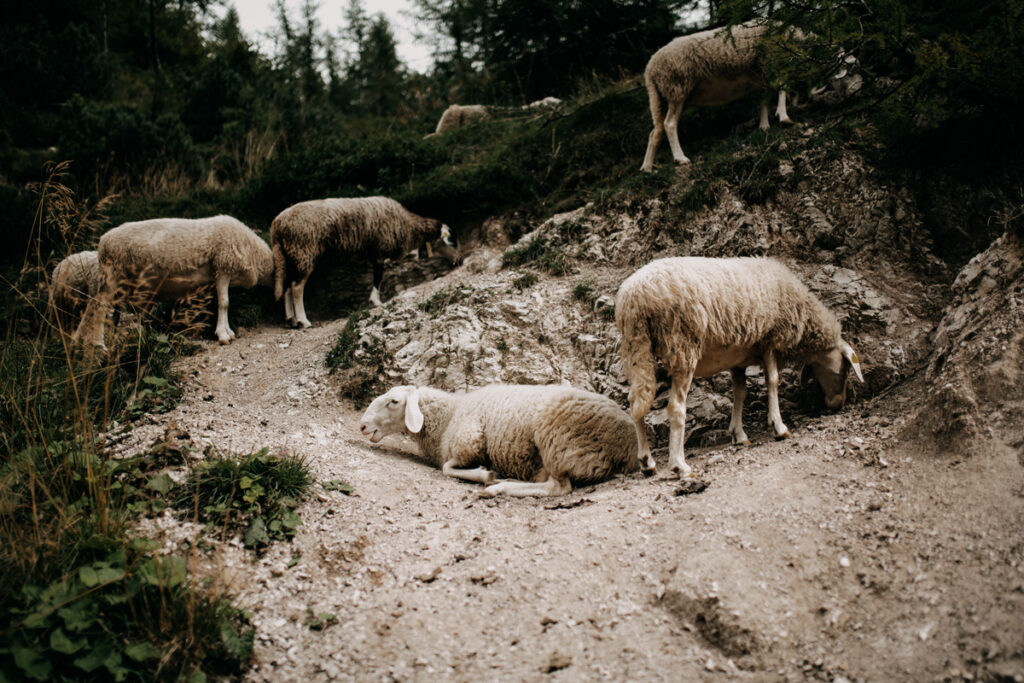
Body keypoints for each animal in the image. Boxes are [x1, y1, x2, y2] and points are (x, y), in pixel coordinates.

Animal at [270, 194, 454, 327]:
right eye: (446, 240)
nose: (455, 261)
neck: (407, 225)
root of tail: (277, 225)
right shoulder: (379, 250)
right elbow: (378, 277)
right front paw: (376, 301)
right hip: (304, 251)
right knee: (296, 287)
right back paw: (303, 321)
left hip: (290, 255)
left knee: (287, 286)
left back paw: (292, 320)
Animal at [356, 385, 634, 497]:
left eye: (394, 401)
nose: (362, 426)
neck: (449, 415)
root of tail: (628, 445)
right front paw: (491, 474)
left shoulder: (470, 441)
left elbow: (447, 468)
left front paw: (485, 475)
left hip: (559, 442)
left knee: (559, 487)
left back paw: (497, 488)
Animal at [614, 254, 864, 475]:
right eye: (844, 370)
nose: (838, 404)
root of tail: (635, 297)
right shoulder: (770, 341)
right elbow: (773, 382)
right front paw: (779, 427)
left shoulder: (738, 358)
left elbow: (740, 393)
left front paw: (739, 434)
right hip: (682, 346)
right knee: (675, 407)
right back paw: (679, 465)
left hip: (637, 350)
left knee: (636, 402)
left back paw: (647, 462)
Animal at [638, 21, 798, 172]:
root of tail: (650, 69)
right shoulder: (769, 63)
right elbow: (782, 88)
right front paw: (784, 117)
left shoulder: (762, 75)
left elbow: (764, 99)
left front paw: (764, 125)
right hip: (677, 86)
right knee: (669, 124)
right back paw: (680, 158)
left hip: (659, 97)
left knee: (656, 131)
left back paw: (647, 167)